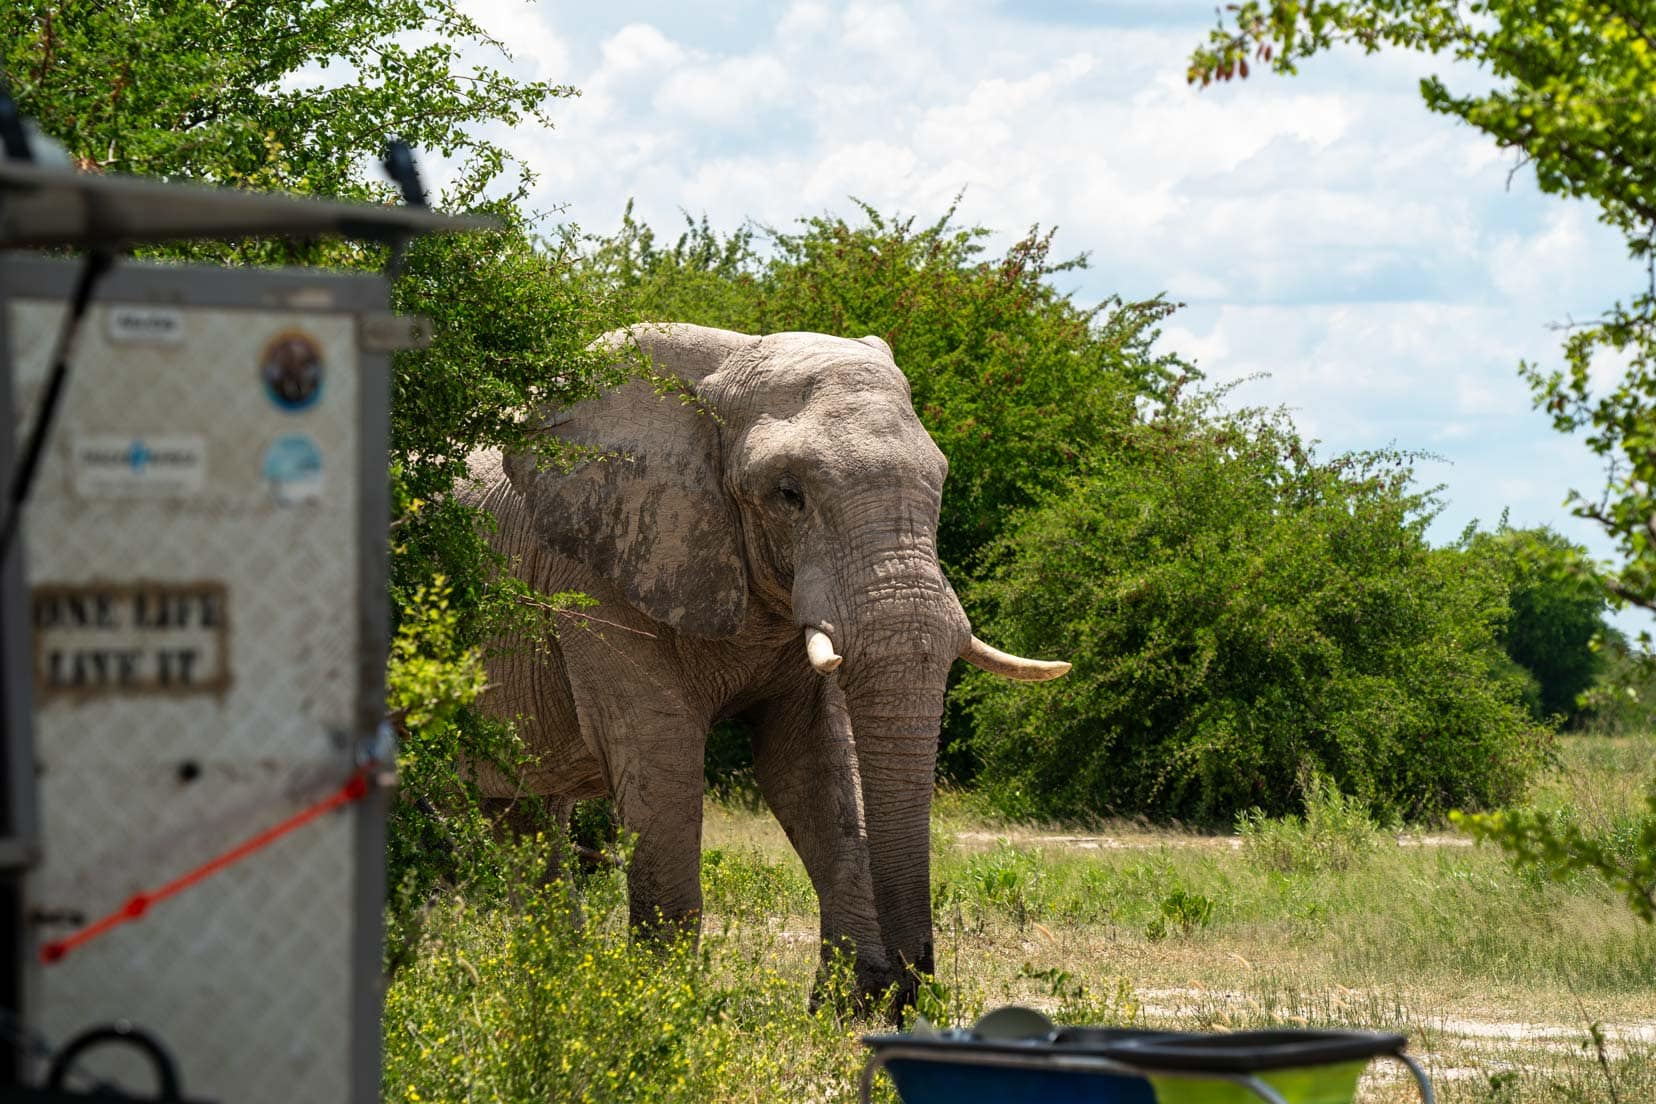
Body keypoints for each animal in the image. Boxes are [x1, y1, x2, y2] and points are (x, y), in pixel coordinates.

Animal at [460, 321, 1066, 1012]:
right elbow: (659, 757)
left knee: (524, 821)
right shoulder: (596, 569)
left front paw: (845, 1008)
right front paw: (659, 1011)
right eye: (788, 494)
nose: (909, 988)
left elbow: (810, 766)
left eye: (939, 480)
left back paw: (556, 986)